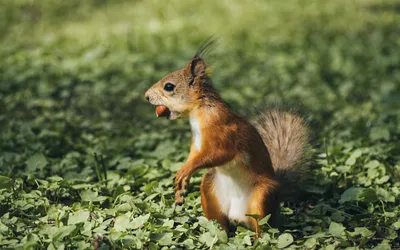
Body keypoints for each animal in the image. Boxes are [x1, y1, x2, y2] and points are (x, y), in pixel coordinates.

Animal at [145, 38, 312, 234]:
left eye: (169, 87)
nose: (146, 96)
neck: (199, 111)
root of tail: (238, 216)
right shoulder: (197, 142)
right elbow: (194, 155)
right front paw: (182, 179)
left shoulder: (223, 132)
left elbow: (220, 153)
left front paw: (185, 171)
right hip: (210, 189)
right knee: (222, 222)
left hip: (262, 196)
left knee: (263, 226)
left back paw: (257, 237)